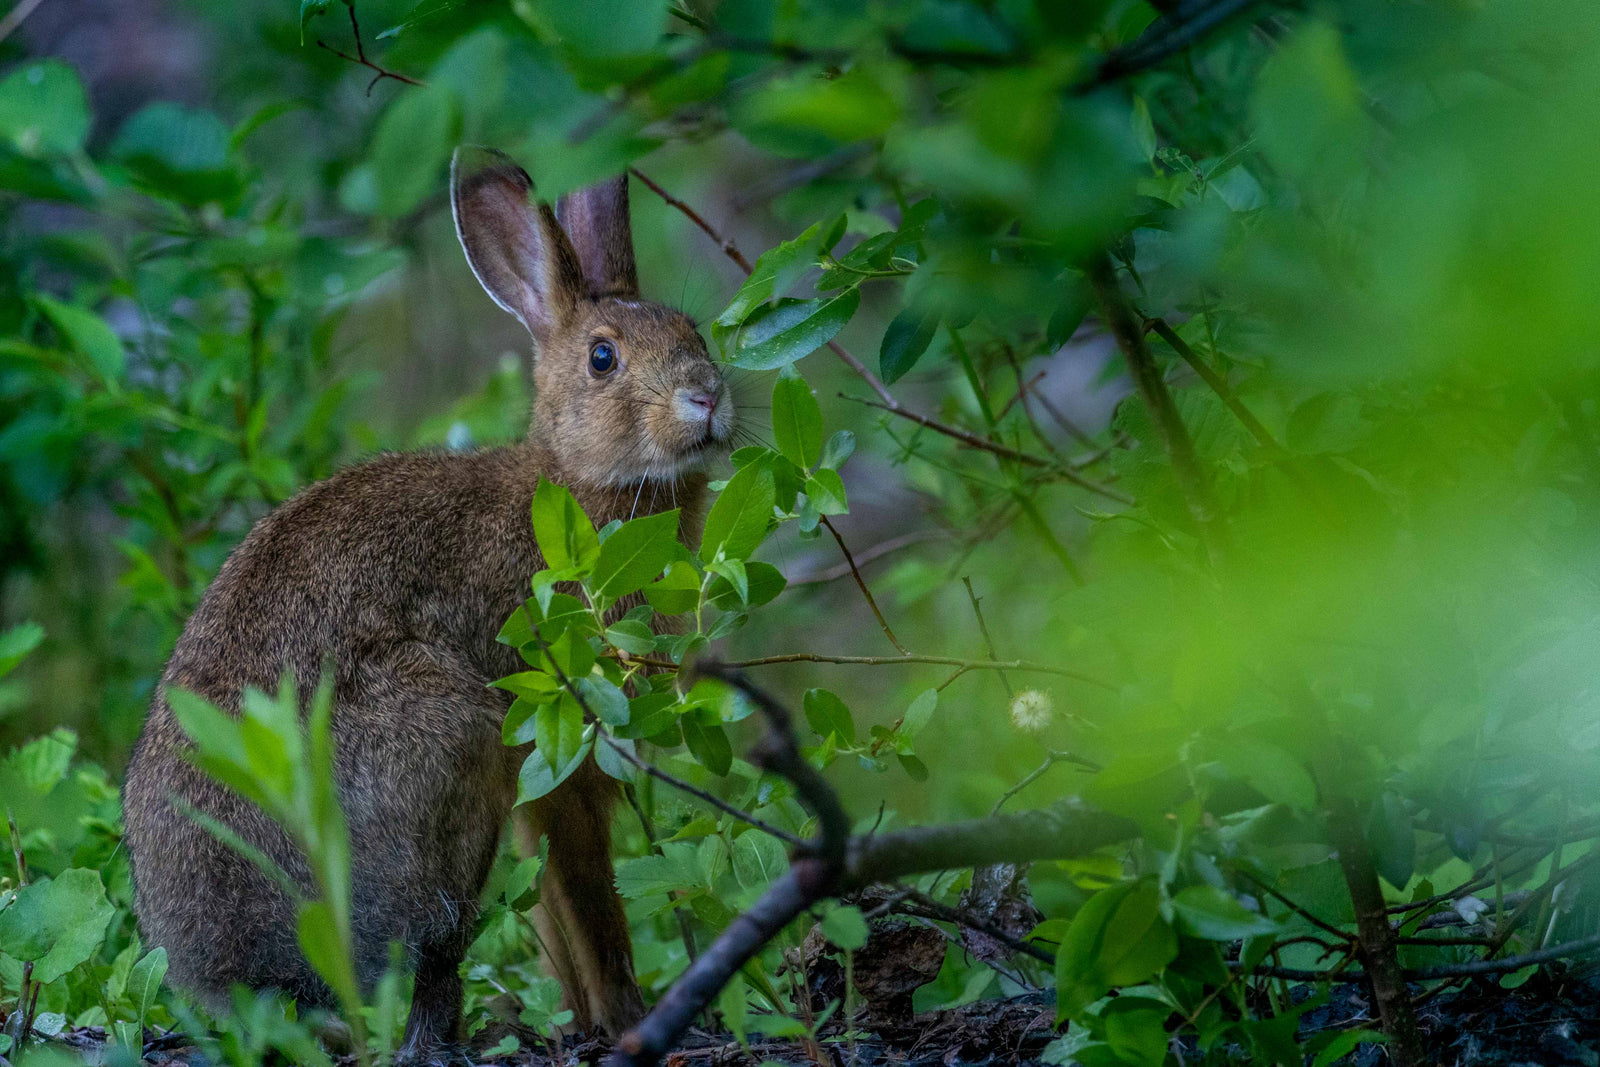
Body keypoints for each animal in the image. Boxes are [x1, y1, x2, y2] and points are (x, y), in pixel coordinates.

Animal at [121, 146, 735, 1059]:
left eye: (693, 331)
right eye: (603, 358)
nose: (708, 396)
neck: (576, 483)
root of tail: (247, 970)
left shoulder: (535, 774)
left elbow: (555, 913)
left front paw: (584, 1017)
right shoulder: (562, 738)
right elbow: (590, 896)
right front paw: (626, 1014)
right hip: (446, 739)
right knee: (429, 961)